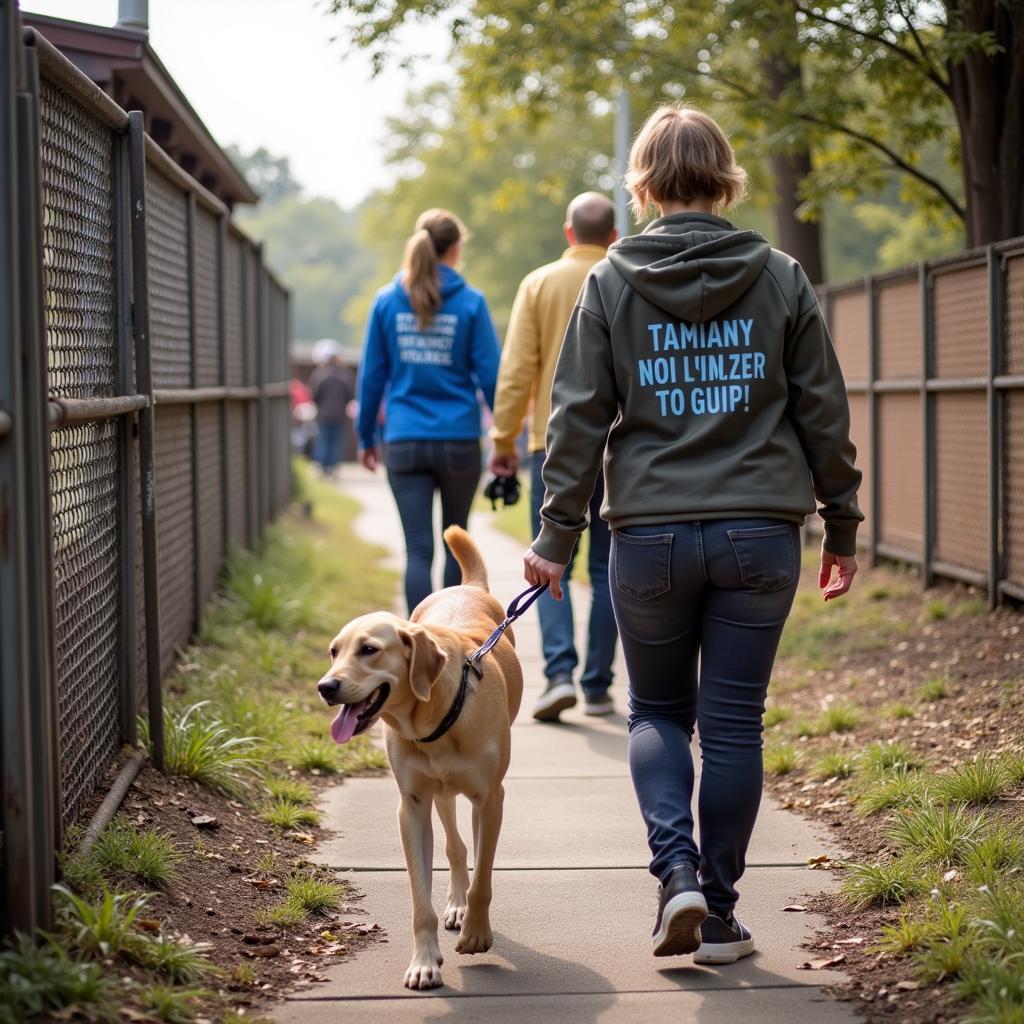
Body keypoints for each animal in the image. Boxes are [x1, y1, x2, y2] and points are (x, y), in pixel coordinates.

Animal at [317, 524, 524, 987]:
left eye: (369, 650)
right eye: (334, 651)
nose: (326, 686)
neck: (433, 718)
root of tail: (467, 586)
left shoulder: (492, 799)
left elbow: (484, 875)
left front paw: (476, 933)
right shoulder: (411, 805)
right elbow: (419, 899)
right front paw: (424, 961)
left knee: (472, 850)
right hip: (439, 794)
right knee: (455, 846)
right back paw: (456, 903)